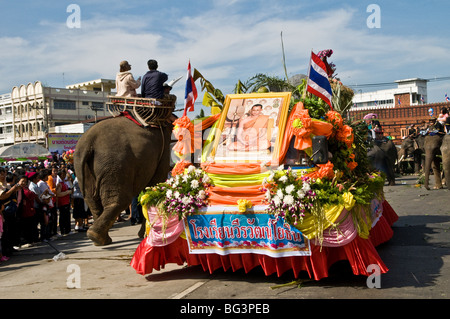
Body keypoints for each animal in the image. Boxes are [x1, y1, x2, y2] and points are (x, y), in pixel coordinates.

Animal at [73, 116, 173, 246]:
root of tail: (88, 141)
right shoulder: (163, 152)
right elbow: (152, 190)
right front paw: (146, 235)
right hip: (116, 164)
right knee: (121, 200)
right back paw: (98, 237)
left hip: (83, 166)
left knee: (91, 199)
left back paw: (99, 239)